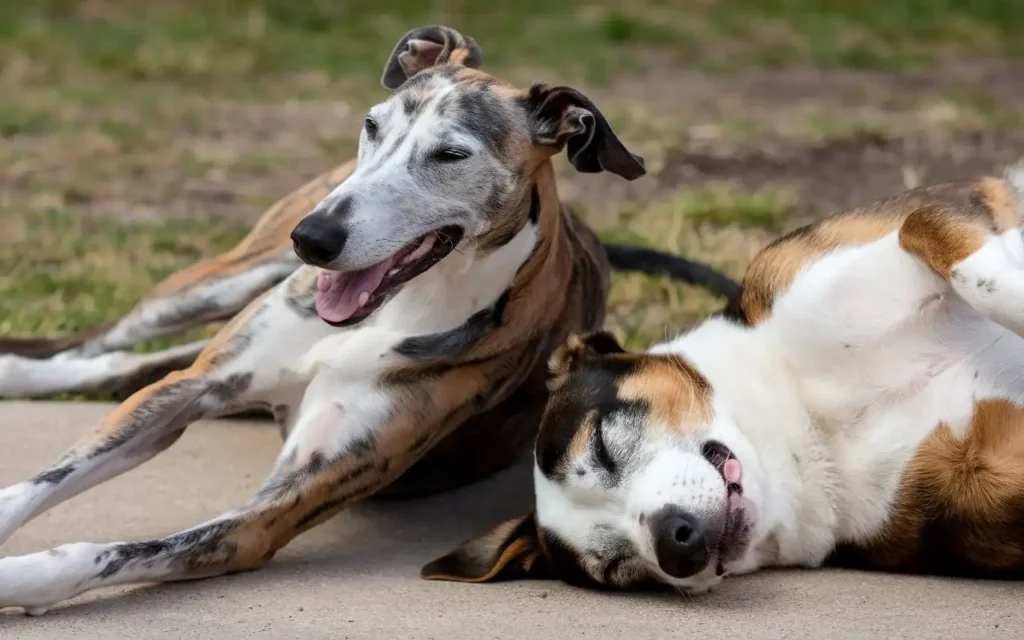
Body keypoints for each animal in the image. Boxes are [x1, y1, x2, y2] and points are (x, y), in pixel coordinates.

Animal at [0, 24, 741, 614]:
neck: (390, 312)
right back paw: (20, 367)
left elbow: (106, 550)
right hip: (218, 283)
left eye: (452, 154)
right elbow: (40, 483)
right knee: (110, 348)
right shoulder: (191, 392)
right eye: (373, 124)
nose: (313, 239)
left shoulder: (266, 516)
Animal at [423, 164, 1024, 589]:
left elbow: (930, 228)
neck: (809, 411)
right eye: (616, 567)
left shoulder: (932, 214)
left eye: (602, 445)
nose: (676, 543)